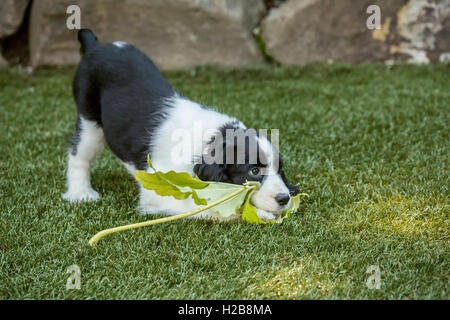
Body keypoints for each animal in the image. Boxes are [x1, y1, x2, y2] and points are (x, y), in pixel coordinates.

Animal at [60, 29, 298, 220]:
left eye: (280, 169)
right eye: (254, 171)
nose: (284, 198)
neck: (212, 138)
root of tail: (96, 46)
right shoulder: (161, 191)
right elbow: (207, 205)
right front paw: (262, 214)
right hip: (89, 118)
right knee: (79, 154)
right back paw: (80, 193)